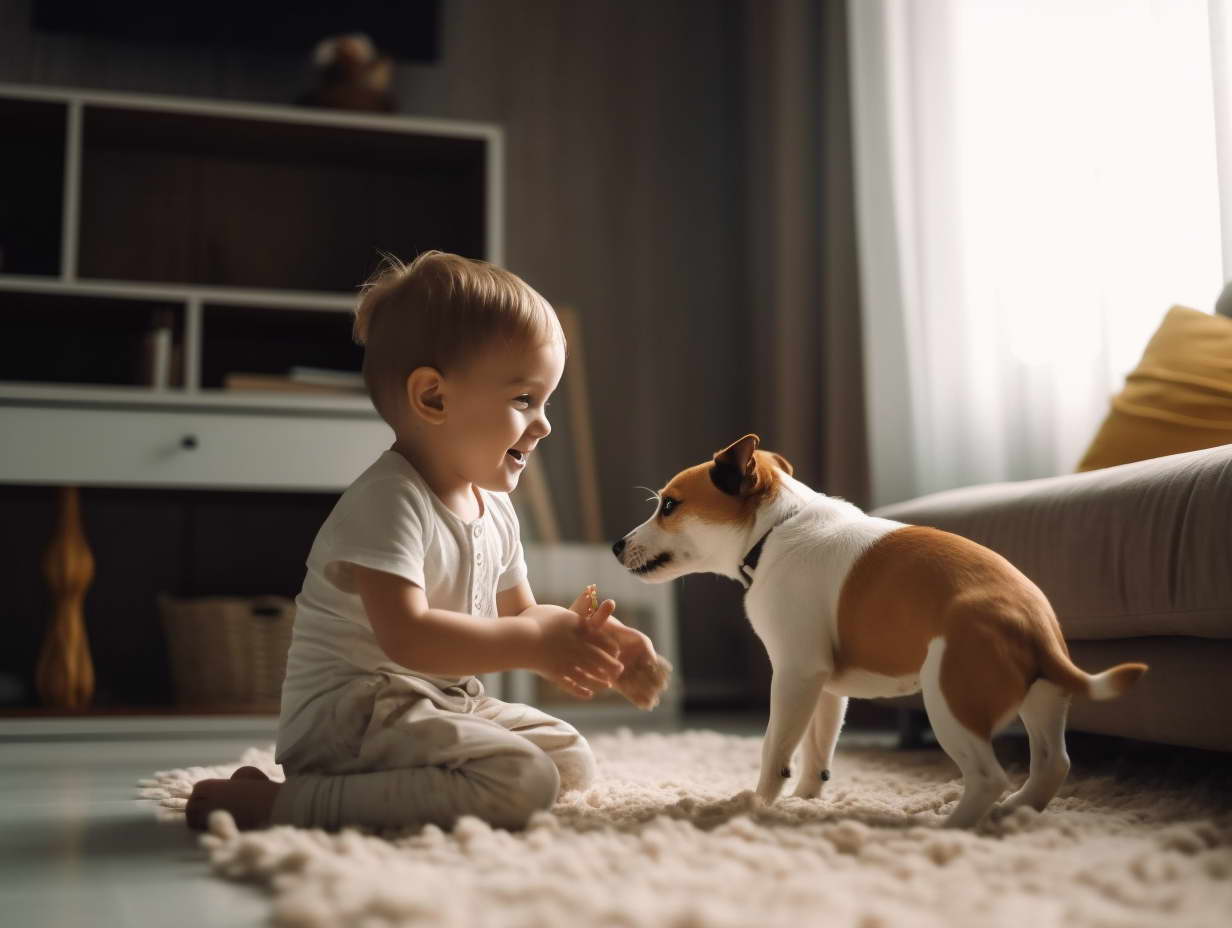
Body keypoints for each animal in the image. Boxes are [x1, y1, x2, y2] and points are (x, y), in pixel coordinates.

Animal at [613, 433, 1143, 823]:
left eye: (669, 506)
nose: (617, 545)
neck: (776, 529)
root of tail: (1034, 623)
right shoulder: (825, 687)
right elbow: (817, 749)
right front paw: (806, 800)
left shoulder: (794, 674)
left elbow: (775, 748)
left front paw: (757, 805)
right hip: (1042, 702)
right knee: (1053, 764)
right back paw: (1017, 811)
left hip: (950, 702)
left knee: (988, 776)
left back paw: (952, 826)